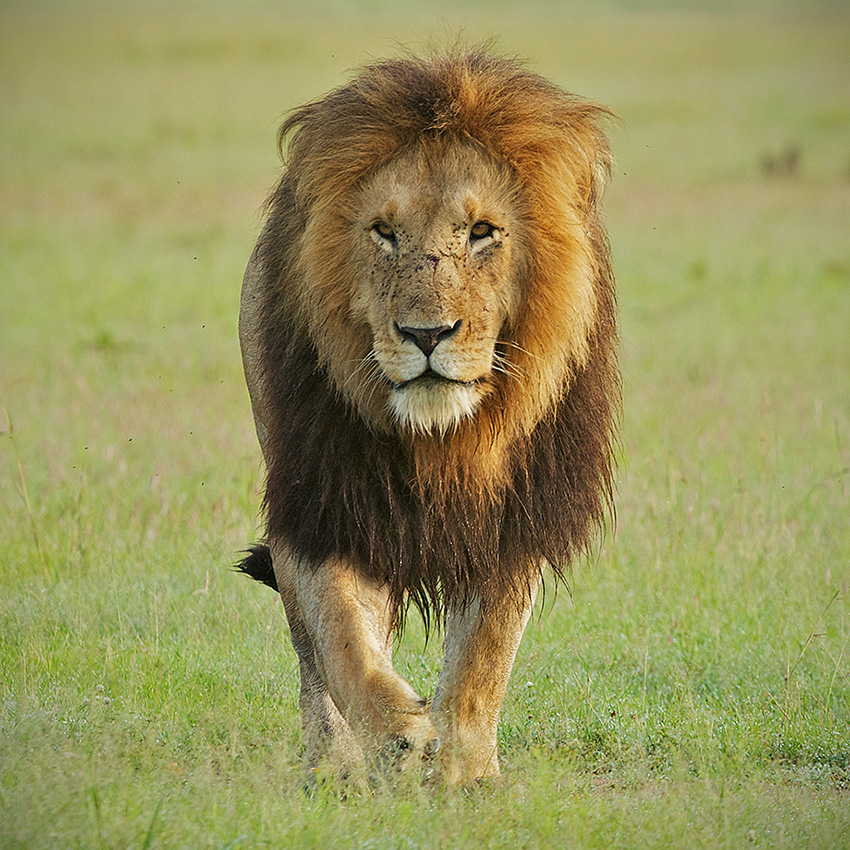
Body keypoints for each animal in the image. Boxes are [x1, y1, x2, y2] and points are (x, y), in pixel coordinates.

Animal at [236, 49, 619, 785]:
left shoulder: (514, 516)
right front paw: (396, 734)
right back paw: (335, 765)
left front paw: (466, 773)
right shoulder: (323, 502)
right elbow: (339, 632)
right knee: (314, 653)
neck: (441, 440)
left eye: (482, 232)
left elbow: (483, 659)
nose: (426, 334)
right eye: (385, 233)